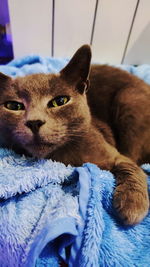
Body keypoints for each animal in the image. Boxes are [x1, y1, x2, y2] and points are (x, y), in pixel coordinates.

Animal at [0, 45, 149, 226]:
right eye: (13, 106)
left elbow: (131, 167)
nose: (34, 122)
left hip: (129, 99)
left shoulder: (115, 155)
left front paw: (132, 205)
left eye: (60, 101)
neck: (62, 156)